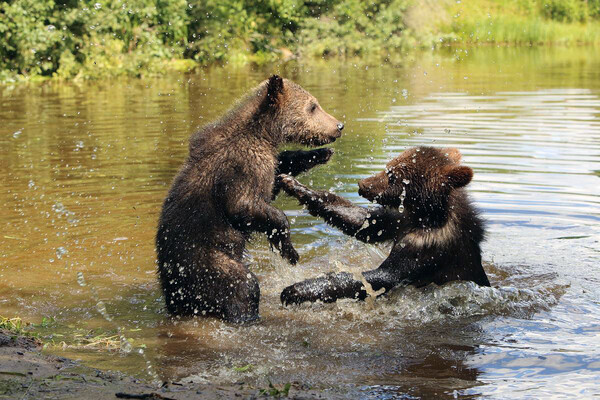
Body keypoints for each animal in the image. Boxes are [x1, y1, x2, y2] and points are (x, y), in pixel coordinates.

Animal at [157, 75, 344, 324]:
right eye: (313, 106)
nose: (339, 126)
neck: (263, 133)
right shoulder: (242, 168)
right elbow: (244, 206)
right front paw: (289, 250)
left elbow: (278, 170)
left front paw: (320, 154)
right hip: (205, 259)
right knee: (242, 286)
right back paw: (248, 314)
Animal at [278, 147, 490, 306]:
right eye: (388, 168)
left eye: (393, 175)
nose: (362, 184)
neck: (424, 216)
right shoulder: (400, 219)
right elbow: (365, 222)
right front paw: (294, 184)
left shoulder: (428, 244)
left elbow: (382, 276)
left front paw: (295, 290)